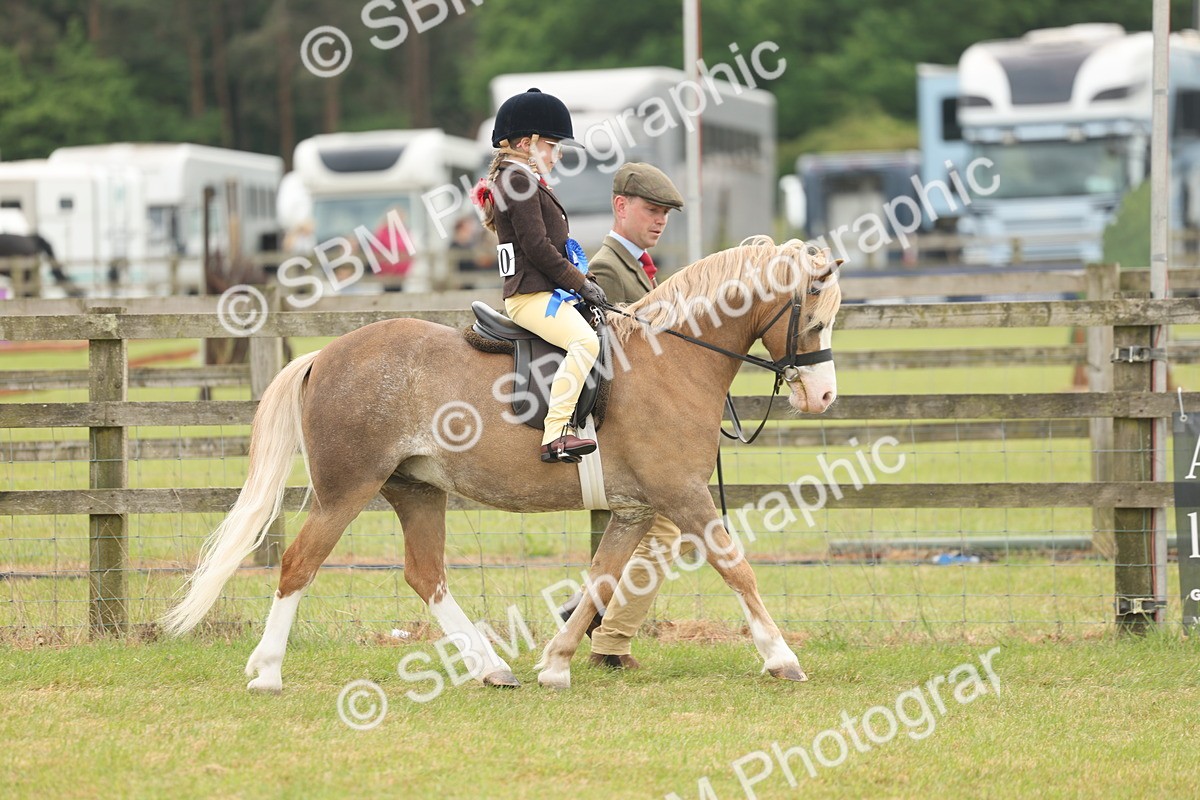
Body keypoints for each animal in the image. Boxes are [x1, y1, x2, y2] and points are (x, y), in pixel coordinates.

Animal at [162, 236, 842, 692]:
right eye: (814, 316)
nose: (824, 397)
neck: (669, 360)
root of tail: (324, 355)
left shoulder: (635, 510)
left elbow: (601, 581)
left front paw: (556, 664)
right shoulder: (683, 498)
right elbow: (737, 568)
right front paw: (781, 658)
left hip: (415, 490)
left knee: (426, 576)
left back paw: (491, 667)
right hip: (346, 491)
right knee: (300, 565)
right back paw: (269, 672)